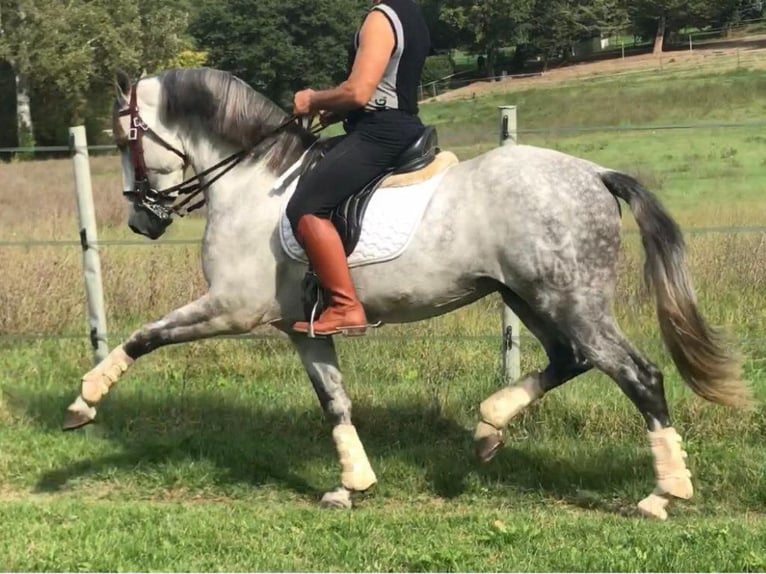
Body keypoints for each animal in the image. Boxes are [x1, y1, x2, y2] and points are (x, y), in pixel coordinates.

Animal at [64, 68, 752, 520]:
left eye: (125, 140)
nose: (141, 221)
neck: (255, 184)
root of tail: (594, 174)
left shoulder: (232, 309)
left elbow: (144, 335)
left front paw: (84, 403)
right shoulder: (300, 330)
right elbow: (335, 405)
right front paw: (352, 485)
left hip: (569, 301)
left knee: (639, 376)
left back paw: (662, 494)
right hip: (530, 298)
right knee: (570, 359)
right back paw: (489, 426)